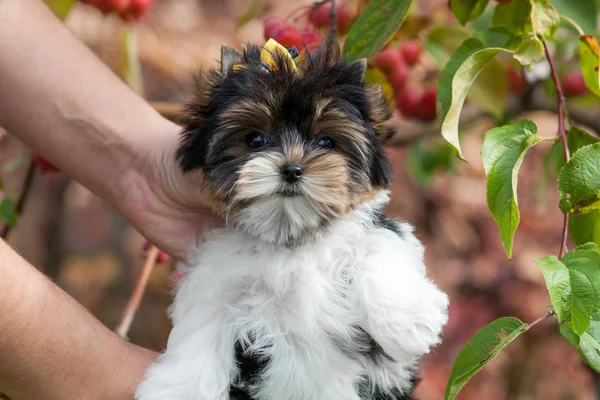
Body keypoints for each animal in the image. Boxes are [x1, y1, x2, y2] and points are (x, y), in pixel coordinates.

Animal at [135, 38, 446, 400]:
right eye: (255, 139)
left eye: (326, 141)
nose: (292, 169)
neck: (288, 239)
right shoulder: (216, 283)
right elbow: (200, 328)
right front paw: (178, 388)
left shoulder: (383, 232)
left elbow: (376, 246)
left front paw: (410, 320)